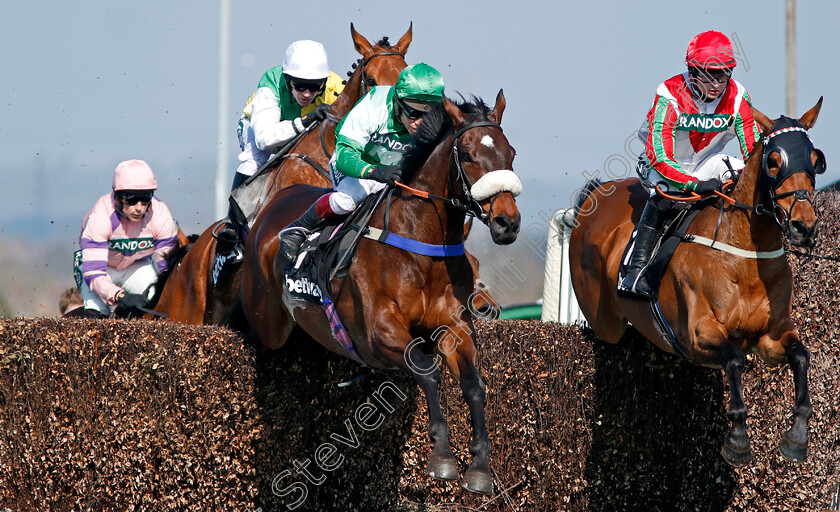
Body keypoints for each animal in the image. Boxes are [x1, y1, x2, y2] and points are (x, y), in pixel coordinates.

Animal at [240, 93, 520, 496]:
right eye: (467, 154)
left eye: (510, 153)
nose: (507, 222)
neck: (422, 244)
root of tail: (274, 203)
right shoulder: (379, 331)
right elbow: (426, 368)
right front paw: (442, 457)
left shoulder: (454, 328)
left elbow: (474, 385)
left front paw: (480, 467)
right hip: (267, 321)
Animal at [568, 98, 824, 466]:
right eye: (774, 162)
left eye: (815, 160)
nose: (804, 226)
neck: (744, 255)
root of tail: (596, 195)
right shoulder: (698, 333)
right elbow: (734, 359)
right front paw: (737, 441)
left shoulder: (770, 336)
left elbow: (800, 355)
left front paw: (797, 437)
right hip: (604, 320)